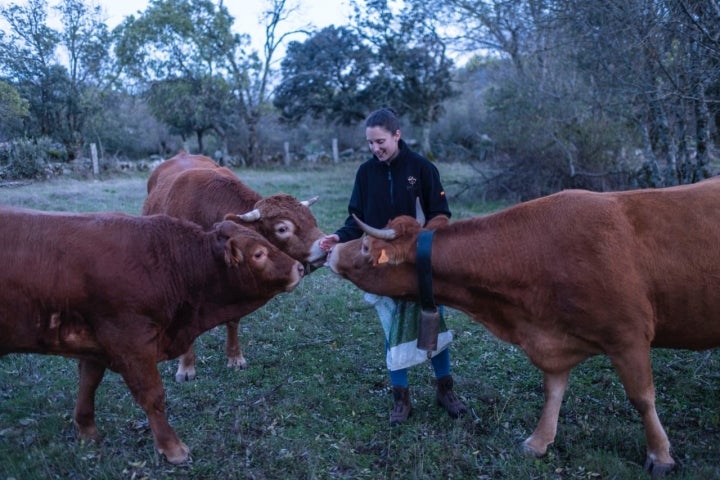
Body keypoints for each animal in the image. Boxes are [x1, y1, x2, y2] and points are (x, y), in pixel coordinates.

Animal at [0, 206, 304, 464]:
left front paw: (87, 432)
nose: (299, 268)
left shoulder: (95, 343)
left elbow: (88, 383)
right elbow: (152, 395)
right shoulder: (130, 340)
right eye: (258, 254)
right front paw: (172, 448)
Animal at [143, 152, 326, 380]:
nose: (328, 243)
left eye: (312, 220)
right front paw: (186, 368)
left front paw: (235, 358)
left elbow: (233, 320)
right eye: (283, 228)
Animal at [328, 178, 720, 478]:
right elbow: (553, 390)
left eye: (366, 247)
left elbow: (642, 398)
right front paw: (538, 441)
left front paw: (660, 455)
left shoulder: (629, 335)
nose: (331, 251)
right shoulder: (551, 339)